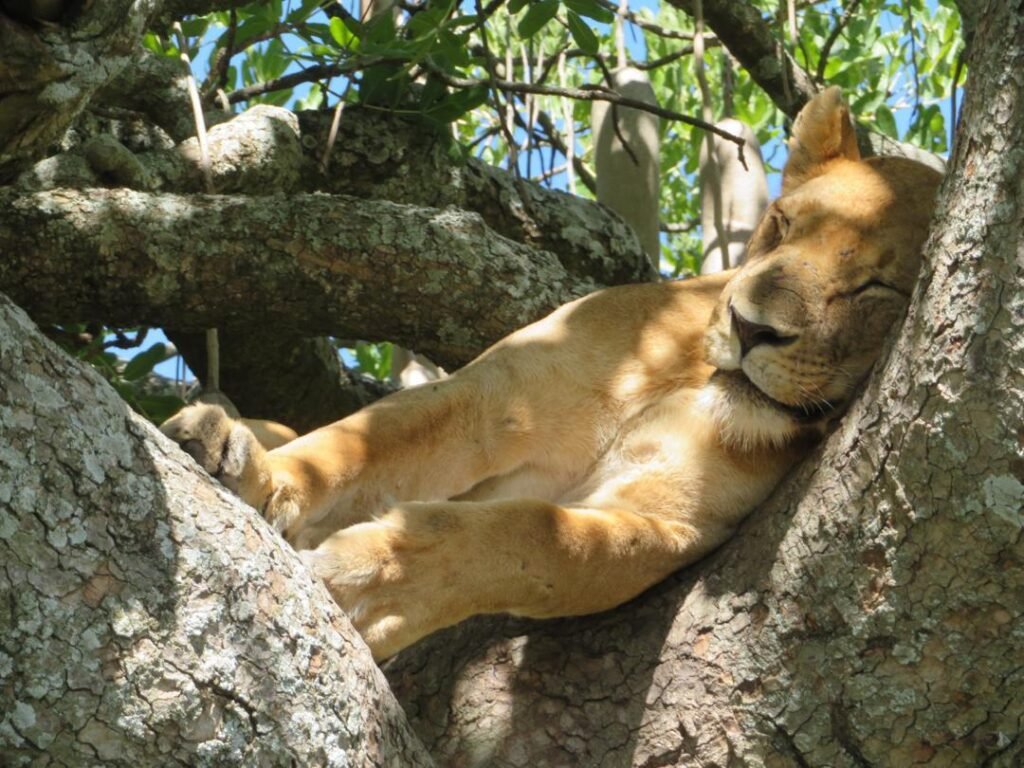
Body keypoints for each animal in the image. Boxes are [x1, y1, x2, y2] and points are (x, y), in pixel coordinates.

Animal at [161, 88, 942, 661]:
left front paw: (380, 583)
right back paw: (215, 430)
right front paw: (256, 476)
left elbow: (544, 538)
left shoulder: (671, 525)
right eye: (781, 224)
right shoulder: (492, 398)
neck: (683, 383)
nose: (750, 327)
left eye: (876, 289)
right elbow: (355, 446)